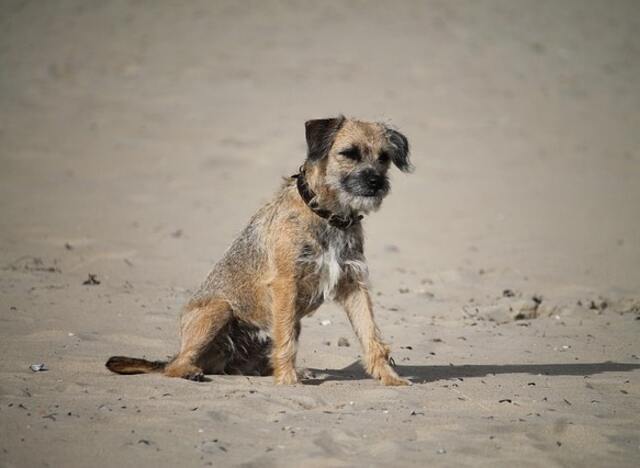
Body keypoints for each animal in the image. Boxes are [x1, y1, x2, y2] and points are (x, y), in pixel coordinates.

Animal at [107, 115, 412, 386]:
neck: (327, 215)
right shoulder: (286, 284)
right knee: (173, 366)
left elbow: (370, 335)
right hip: (219, 309)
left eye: (384, 157)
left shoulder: (353, 285)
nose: (376, 182)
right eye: (349, 153)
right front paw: (287, 381)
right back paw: (190, 371)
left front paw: (390, 378)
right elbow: (286, 341)